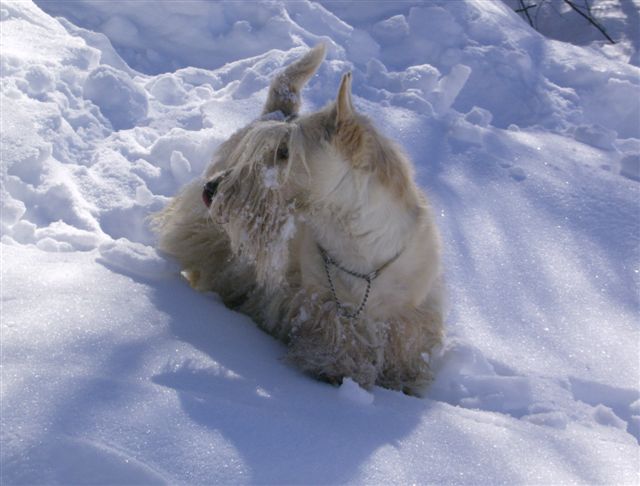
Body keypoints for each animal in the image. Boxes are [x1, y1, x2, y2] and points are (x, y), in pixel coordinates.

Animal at [155, 44, 444, 394]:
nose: (210, 190)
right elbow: (336, 339)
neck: (362, 243)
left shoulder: (408, 316)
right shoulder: (319, 301)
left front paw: (403, 380)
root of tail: (278, 111)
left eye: (284, 152)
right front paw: (334, 368)